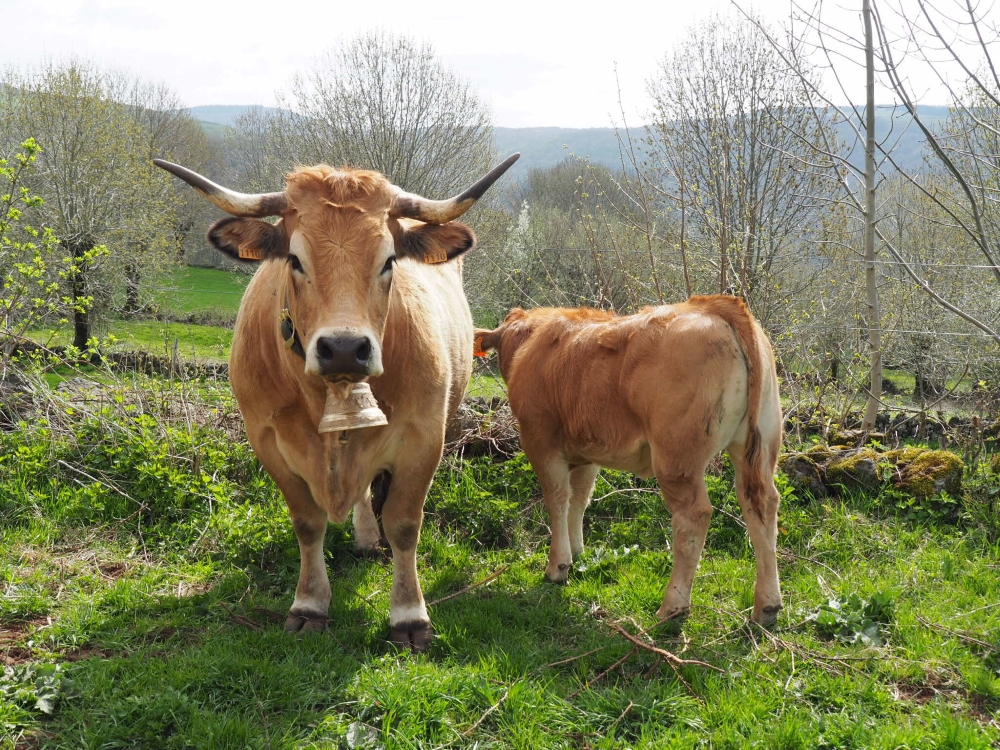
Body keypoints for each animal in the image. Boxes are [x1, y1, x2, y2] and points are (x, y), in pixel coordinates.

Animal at [154, 154, 524, 652]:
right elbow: (307, 523)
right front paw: (309, 603)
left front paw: (409, 615)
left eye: (389, 260)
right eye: (295, 259)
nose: (345, 349)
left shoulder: (424, 436)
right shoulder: (266, 439)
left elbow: (404, 523)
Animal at [472, 296, 784, 624]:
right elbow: (578, 500)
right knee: (761, 506)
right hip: (758, 446)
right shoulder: (586, 452)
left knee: (693, 517)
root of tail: (714, 306)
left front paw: (558, 566)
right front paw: (578, 551)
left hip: (676, 459)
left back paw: (673, 606)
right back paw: (767, 606)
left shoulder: (540, 439)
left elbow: (557, 499)